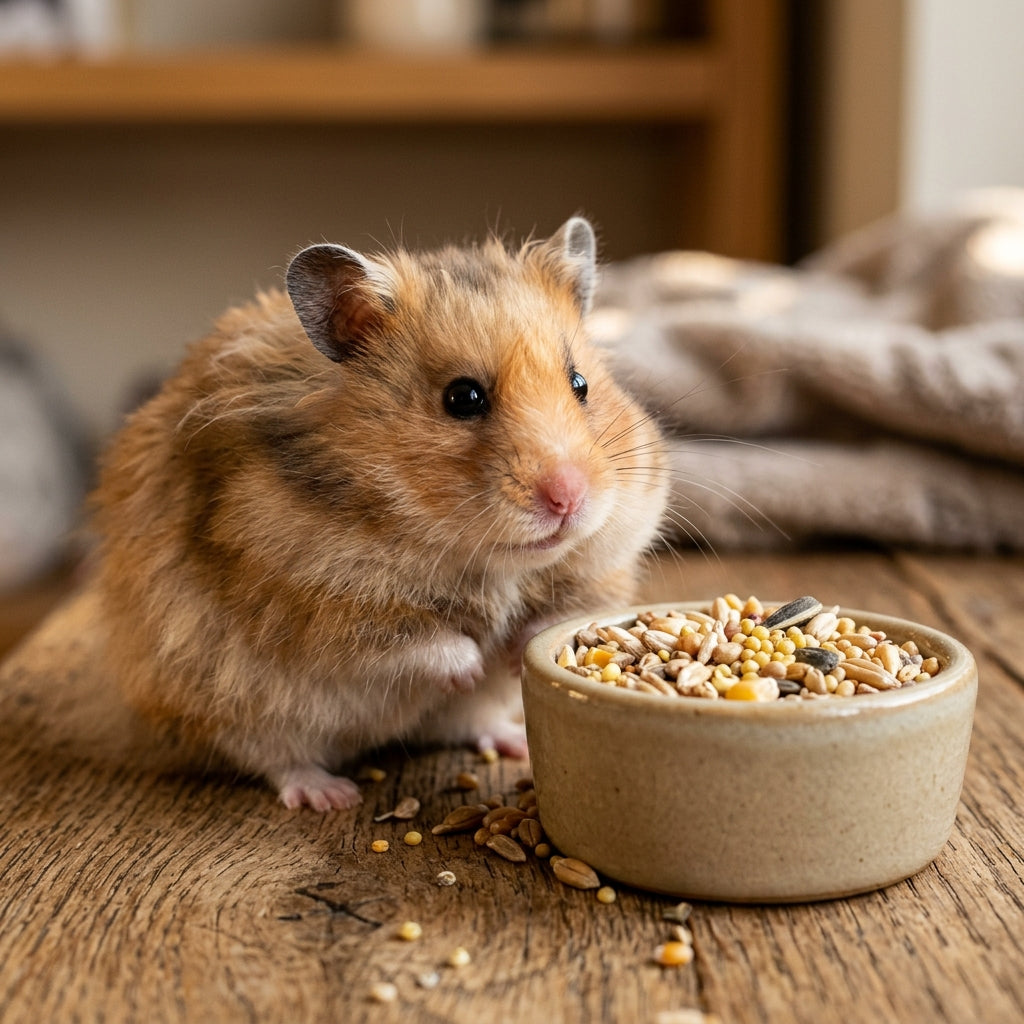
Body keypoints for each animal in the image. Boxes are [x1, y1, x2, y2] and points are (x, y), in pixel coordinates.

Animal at [89, 216, 669, 811]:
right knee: (274, 758)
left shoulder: (606, 563)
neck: (483, 559)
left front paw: (510, 654)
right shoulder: (313, 600)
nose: (568, 499)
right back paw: (330, 795)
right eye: (462, 398)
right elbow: (415, 640)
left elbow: (560, 613)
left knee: (466, 726)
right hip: (225, 699)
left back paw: (510, 743)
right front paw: (474, 664)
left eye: (580, 385)